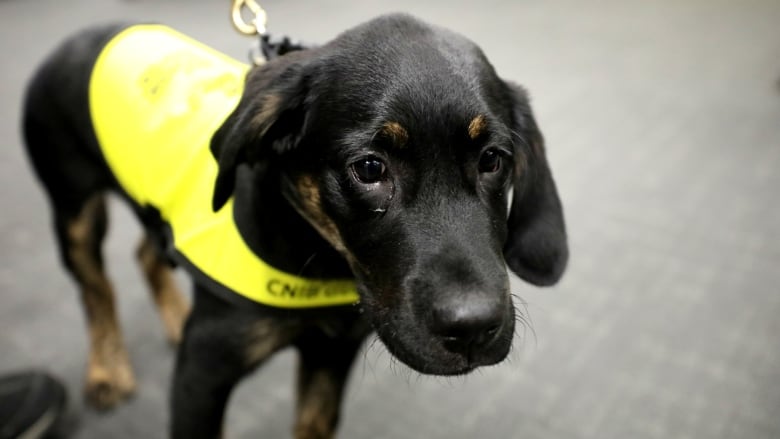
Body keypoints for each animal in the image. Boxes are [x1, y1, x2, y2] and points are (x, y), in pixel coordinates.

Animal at [21, 13, 564, 439]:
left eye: (493, 160)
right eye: (370, 168)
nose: (473, 329)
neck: (318, 258)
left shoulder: (332, 352)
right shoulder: (202, 370)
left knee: (146, 254)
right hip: (72, 209)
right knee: (96, 291)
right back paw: (107, 371)